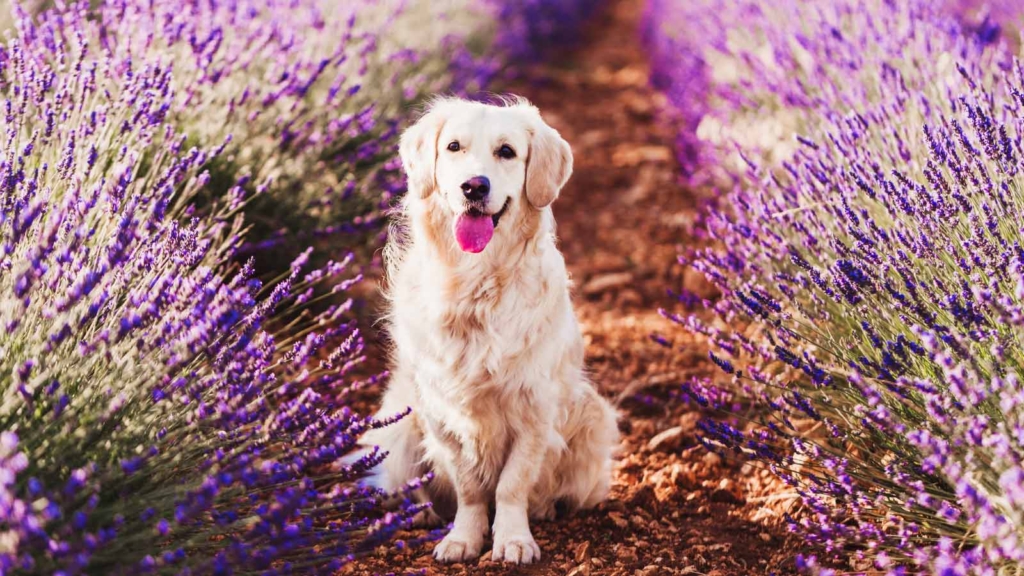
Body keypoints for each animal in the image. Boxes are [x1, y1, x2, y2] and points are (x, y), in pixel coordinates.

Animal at [360, 96, 614, 561]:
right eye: (454, 147)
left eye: (507, 152)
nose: (474, 187)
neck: (475, 285)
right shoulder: (441, 412)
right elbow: (470, 486)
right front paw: (464, 537)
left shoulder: (534, 408)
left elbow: (512, 484)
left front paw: (513, 539)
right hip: (398, 425)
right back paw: (416, 513)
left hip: (594, 417)